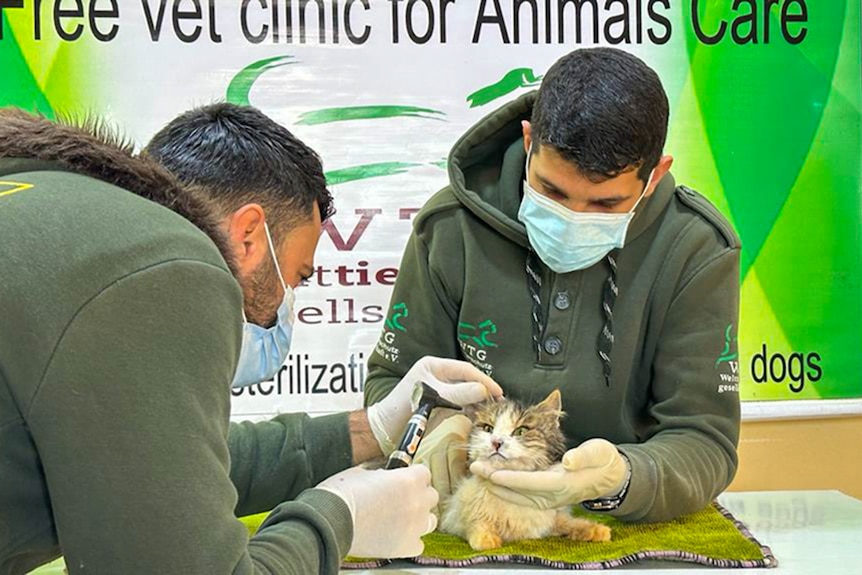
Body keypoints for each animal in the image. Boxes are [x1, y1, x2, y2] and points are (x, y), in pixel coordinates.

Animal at [438, 390, 616, 552]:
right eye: (488, 428)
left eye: (521, 431)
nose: (496, 442)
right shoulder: (454, 515)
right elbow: (475, 522)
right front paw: (486, 539)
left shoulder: (552, 519)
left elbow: (568, 523)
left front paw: (594, 529)